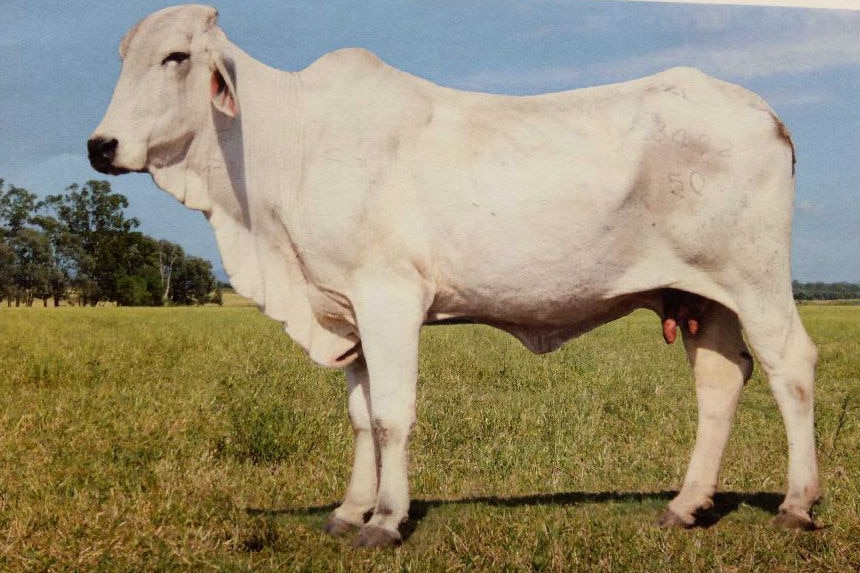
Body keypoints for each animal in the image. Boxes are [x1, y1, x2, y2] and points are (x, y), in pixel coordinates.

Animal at [87, 4, 820, 548]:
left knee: (790, 367)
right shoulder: (347, 309)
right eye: (121, 56)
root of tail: (764, 112)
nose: (101, 146)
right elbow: (359, 416)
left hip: (755, 282)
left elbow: (391, 414)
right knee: (720, 383)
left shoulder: (388, 297)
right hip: (703, 296)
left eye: (176, 56)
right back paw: (686, 504)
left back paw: (797, 504)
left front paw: (385, 519)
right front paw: (349, 510)